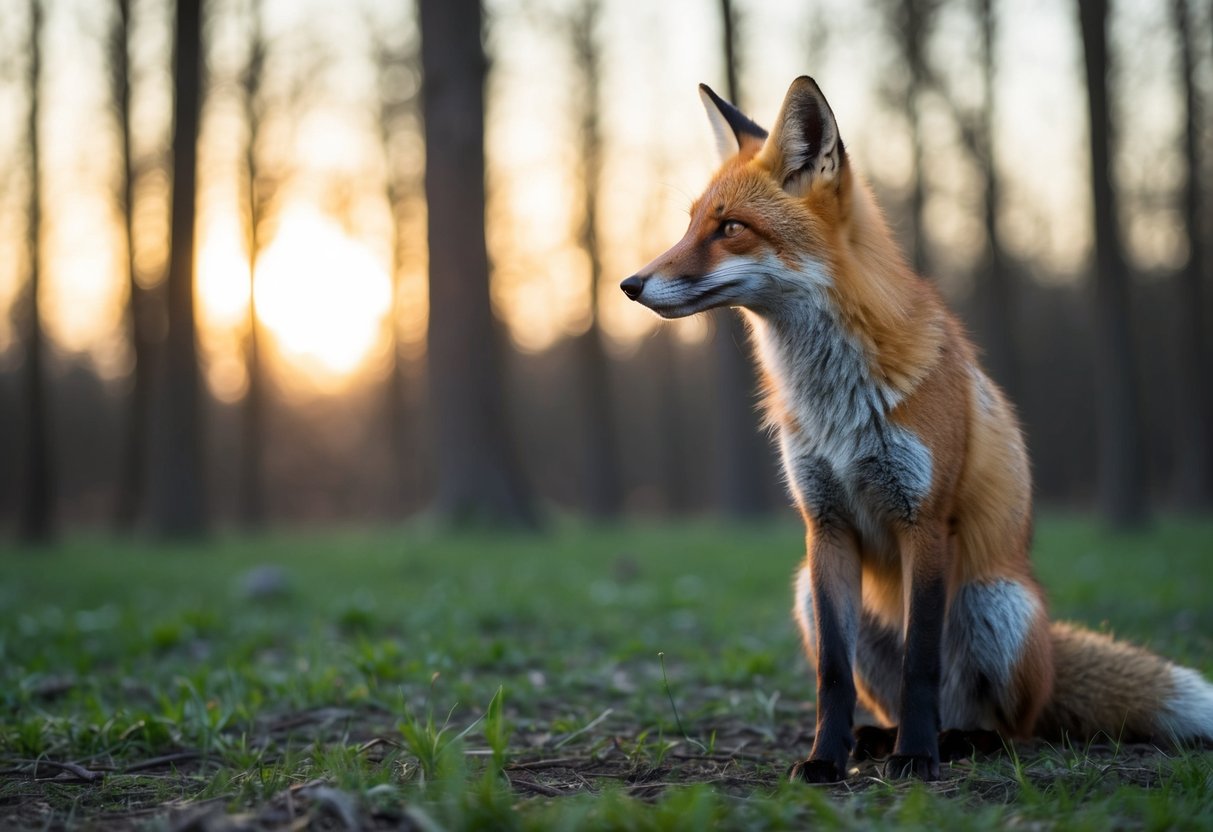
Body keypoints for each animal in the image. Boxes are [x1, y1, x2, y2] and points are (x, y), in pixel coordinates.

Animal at [620, 76, 1213, 782]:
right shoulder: (825, 527)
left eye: (730, 228)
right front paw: (824, 759)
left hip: (996, 603)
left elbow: (921, 663)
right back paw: (877, 738)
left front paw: (917, 759)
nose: (629, 284)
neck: (836, 402)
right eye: (690, 224)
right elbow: (832, 677)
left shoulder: (924, 519)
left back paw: (952, 741)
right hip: (810, 595)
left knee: (1015, 728)